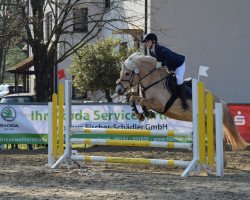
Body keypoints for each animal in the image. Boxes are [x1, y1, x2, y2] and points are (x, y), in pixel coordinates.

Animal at [115, 52, 248, 154]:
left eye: (127, 73)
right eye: (121, 73)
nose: (118, 90)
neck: (153, 81)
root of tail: (220, 101)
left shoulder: (159, 104)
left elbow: (142, 101)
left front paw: (147, 113)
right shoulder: (149, 100)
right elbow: (133, 98)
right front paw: (139, 115)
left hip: (212, 122)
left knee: (220, 142)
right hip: (205, 123)